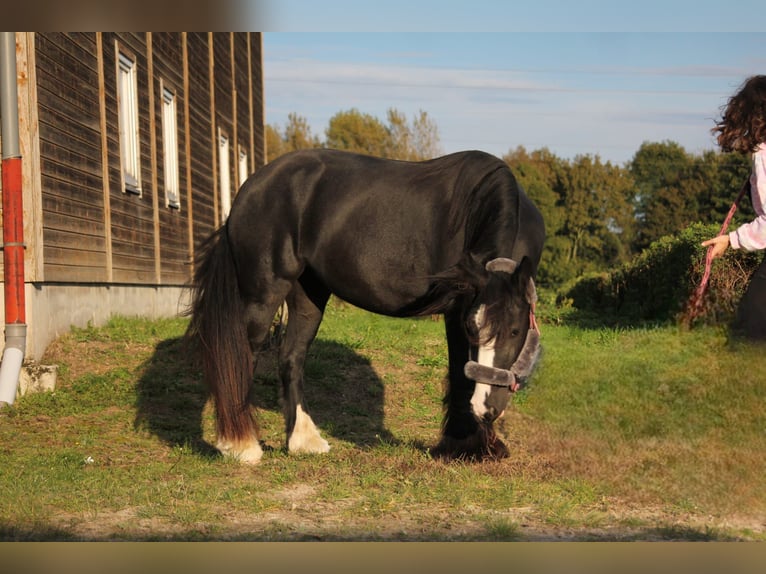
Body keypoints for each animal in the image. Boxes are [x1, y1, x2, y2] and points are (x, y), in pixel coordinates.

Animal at [186, 147, 544, 464]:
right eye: (474, 328)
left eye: (515, 331)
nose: (487, 409)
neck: (475, 208)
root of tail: (250, 189)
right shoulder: (458, 310)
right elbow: (460, 371)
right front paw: (465, 446)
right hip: (264, 292)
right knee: (242, 355)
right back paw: (241, 446)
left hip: (308, 294)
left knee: (291, 358)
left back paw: (304, 441)